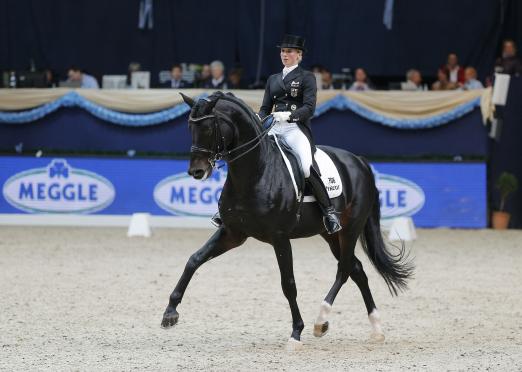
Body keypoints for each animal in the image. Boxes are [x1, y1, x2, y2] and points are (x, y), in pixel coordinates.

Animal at [160, 92, 412, 348]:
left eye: (209, 127)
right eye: (190, 127)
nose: (196, 171)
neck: (256, 172)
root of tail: (359, 161)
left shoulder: (280, 238)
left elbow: (288, 284)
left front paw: (296, 332)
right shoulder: (233, 233)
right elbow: (194, 260)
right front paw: (170, 313)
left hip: (351, 228)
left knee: (344, 269)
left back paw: (321, 321)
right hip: (331, 234)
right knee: (356, 269)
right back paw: (376, 328)